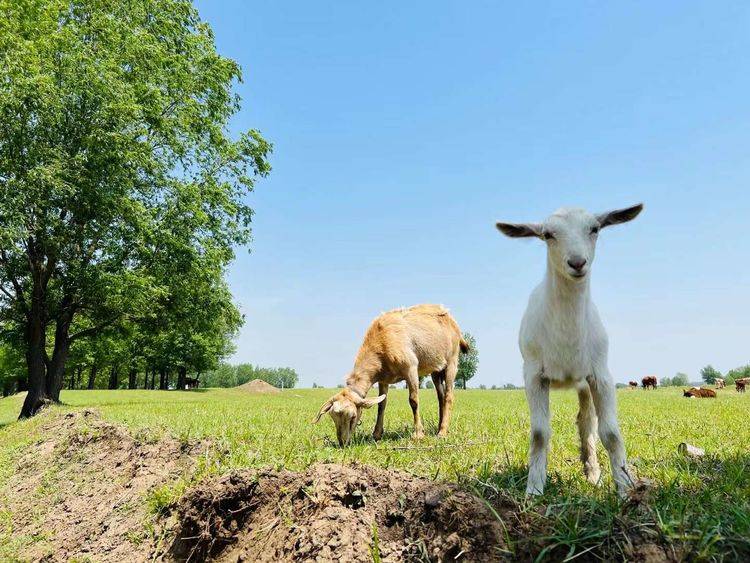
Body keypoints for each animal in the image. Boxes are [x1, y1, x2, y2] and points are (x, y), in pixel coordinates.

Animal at [312, 306, 468, 448]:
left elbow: (413, 401)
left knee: (449, 396)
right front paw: (376, 434)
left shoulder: (410, 368)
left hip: (452, 361)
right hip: (436, 368)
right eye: (333, 417)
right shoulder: (383, 379)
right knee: (441, 397)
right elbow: (381, 405)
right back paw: (440, 427)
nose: (343, 443)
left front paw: (418, 434)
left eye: (353, 416)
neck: (381, 343)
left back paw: (442, 432)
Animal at [496, 205, 644, 496]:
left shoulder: (601, 374)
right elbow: (539, 433)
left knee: (587, 421)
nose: (577, 263)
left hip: (585, 382)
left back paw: (593, 472)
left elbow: (611, 433)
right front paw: (534, 488)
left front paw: (625, 489)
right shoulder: (533, 374)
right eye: (547, 234)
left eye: (595, 228)